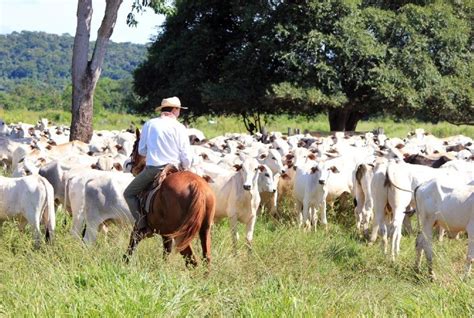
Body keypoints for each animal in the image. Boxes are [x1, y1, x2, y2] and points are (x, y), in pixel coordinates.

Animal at [125, 129, 216, 266]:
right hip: (204, 231)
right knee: (206, 258)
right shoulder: (166, 236)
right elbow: (165, 254)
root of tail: (196, 185)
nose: (132, 167)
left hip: (181, 235)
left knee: (192, 261)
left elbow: (131, 246)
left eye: (135, 145)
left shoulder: (140, 228)